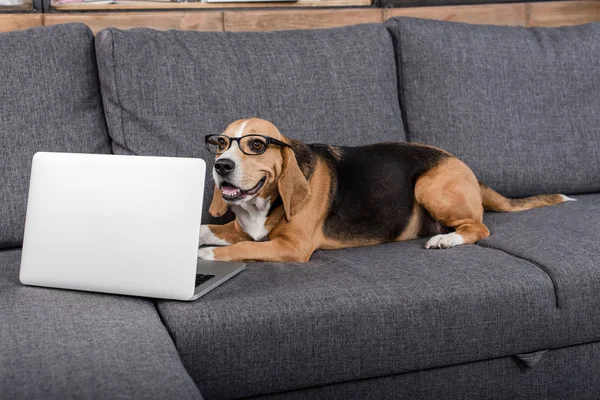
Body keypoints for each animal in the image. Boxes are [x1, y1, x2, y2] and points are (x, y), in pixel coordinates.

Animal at [198, 118, 572, 262]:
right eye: (221, 144)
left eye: (256, 145)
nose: (222, 166)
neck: (262, 204)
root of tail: (463, 165)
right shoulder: (238, 229)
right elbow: (208, 229)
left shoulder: (292, 248)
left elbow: (241, 249)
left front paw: (206, 256)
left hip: (429, 186)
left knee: (478, 227)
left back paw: (445, 240)